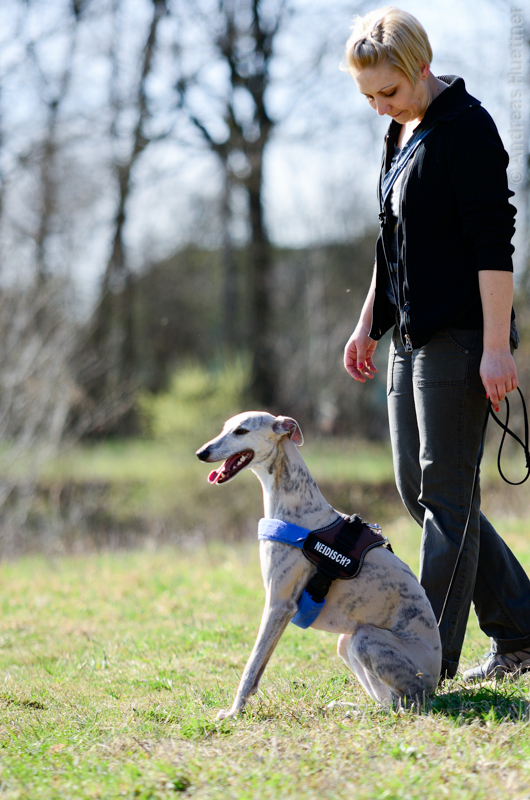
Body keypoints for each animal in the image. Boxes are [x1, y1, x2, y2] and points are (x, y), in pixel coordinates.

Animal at [196, 412, 441, 716]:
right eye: (224, 428)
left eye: (241, 431)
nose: (201, 453)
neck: (296, 509)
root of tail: (435, 681)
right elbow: (257, 665)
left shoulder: (279, 605)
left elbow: (252, 666)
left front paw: (233, 712)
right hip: (346, 643)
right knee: (388, 700)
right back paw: (350, 706)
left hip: (367, 639)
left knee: (405, 703)